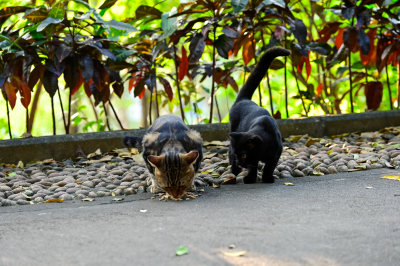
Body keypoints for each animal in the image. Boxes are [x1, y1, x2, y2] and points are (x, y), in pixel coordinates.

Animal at [228, 46, 290, 184]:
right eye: (238, 154)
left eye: (244, 154)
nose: (240, 163)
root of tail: (243, 100)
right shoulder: (253, 159)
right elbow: (253, 167)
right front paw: (250, 178)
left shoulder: (276, 153)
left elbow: (269, 166)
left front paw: (267, 178)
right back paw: (234, 171)